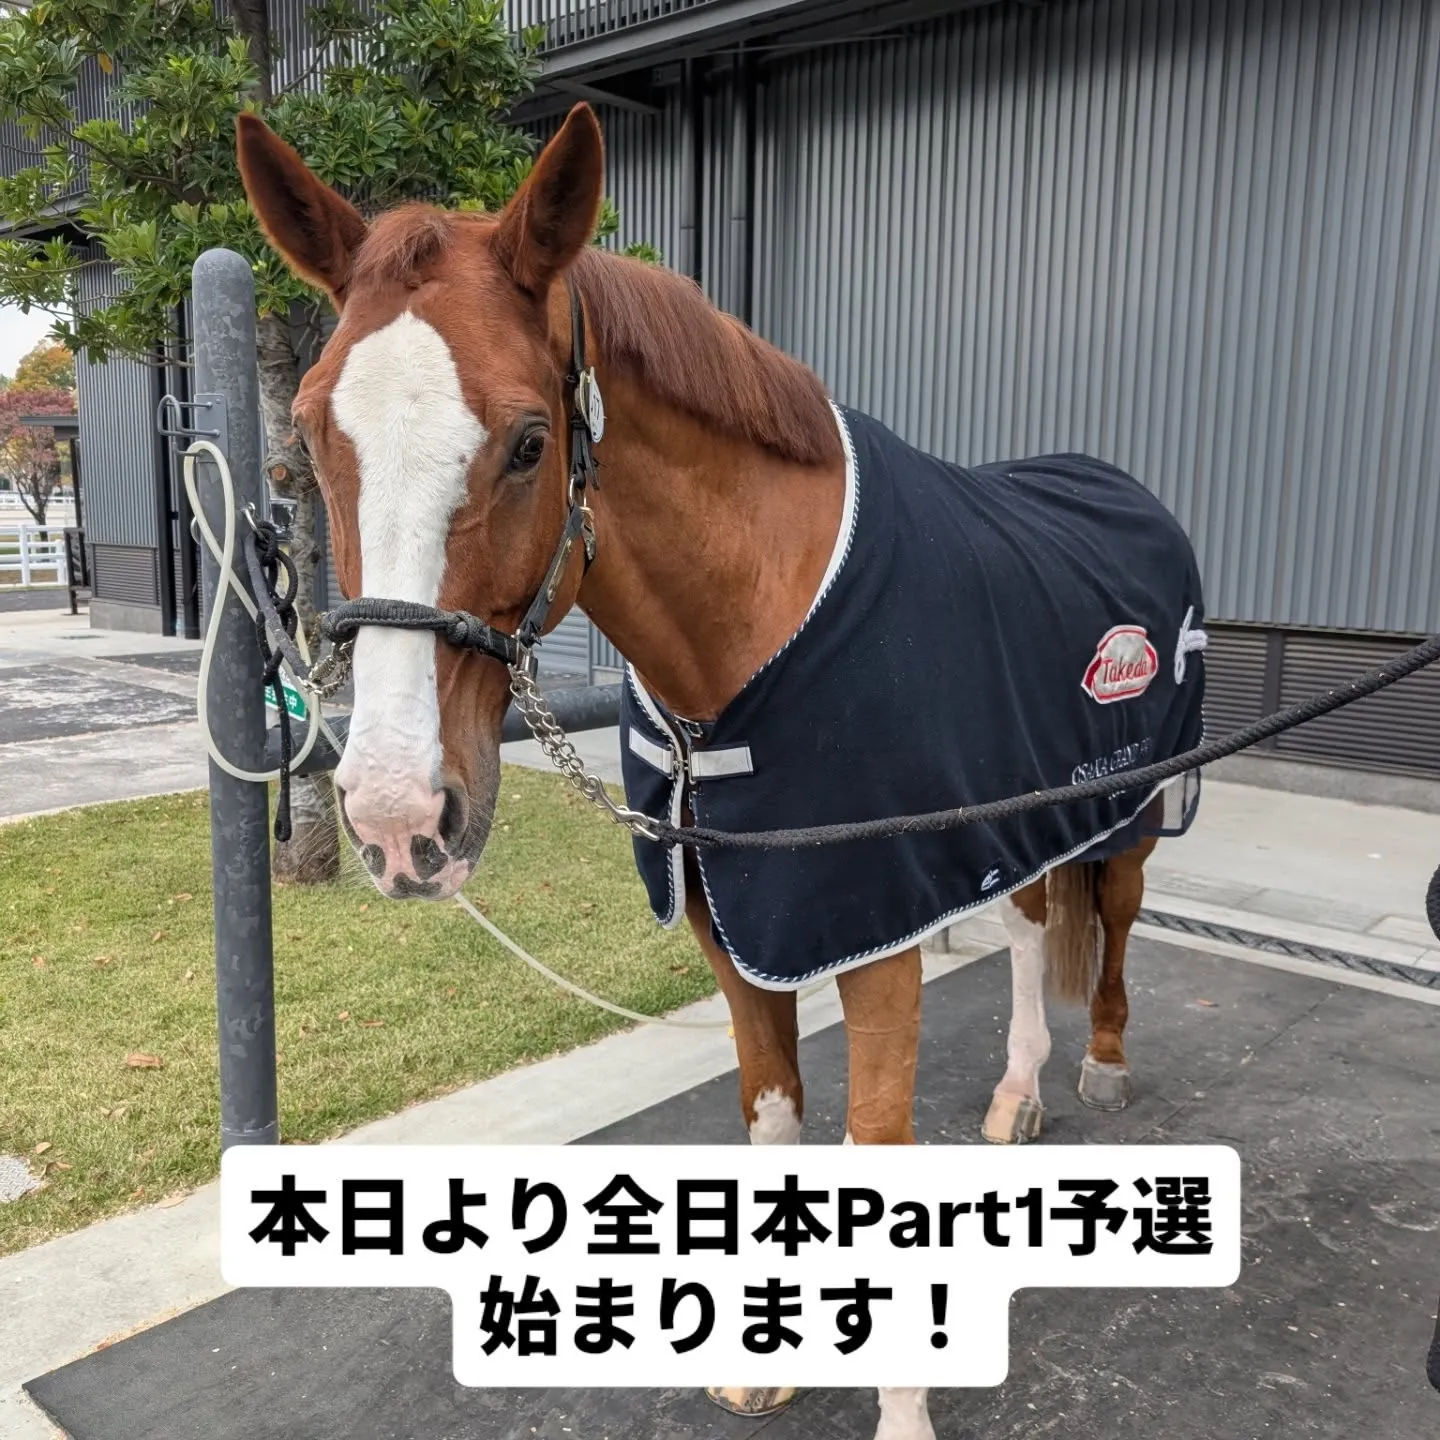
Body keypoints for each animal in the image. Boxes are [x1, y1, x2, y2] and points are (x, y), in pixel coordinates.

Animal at [236, 102, 1206, 1440]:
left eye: (529, 443)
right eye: (312, 439)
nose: (394, 818)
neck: (753, 628)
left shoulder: (872, 927)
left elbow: (874, 1138)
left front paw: (901, 1411)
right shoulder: (733, 922)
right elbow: (774, 1121)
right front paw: (766, 1360)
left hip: (1127, 809)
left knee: (1109, 925)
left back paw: (1101, 1067)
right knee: (1021, 926)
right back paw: (1017, 1096)